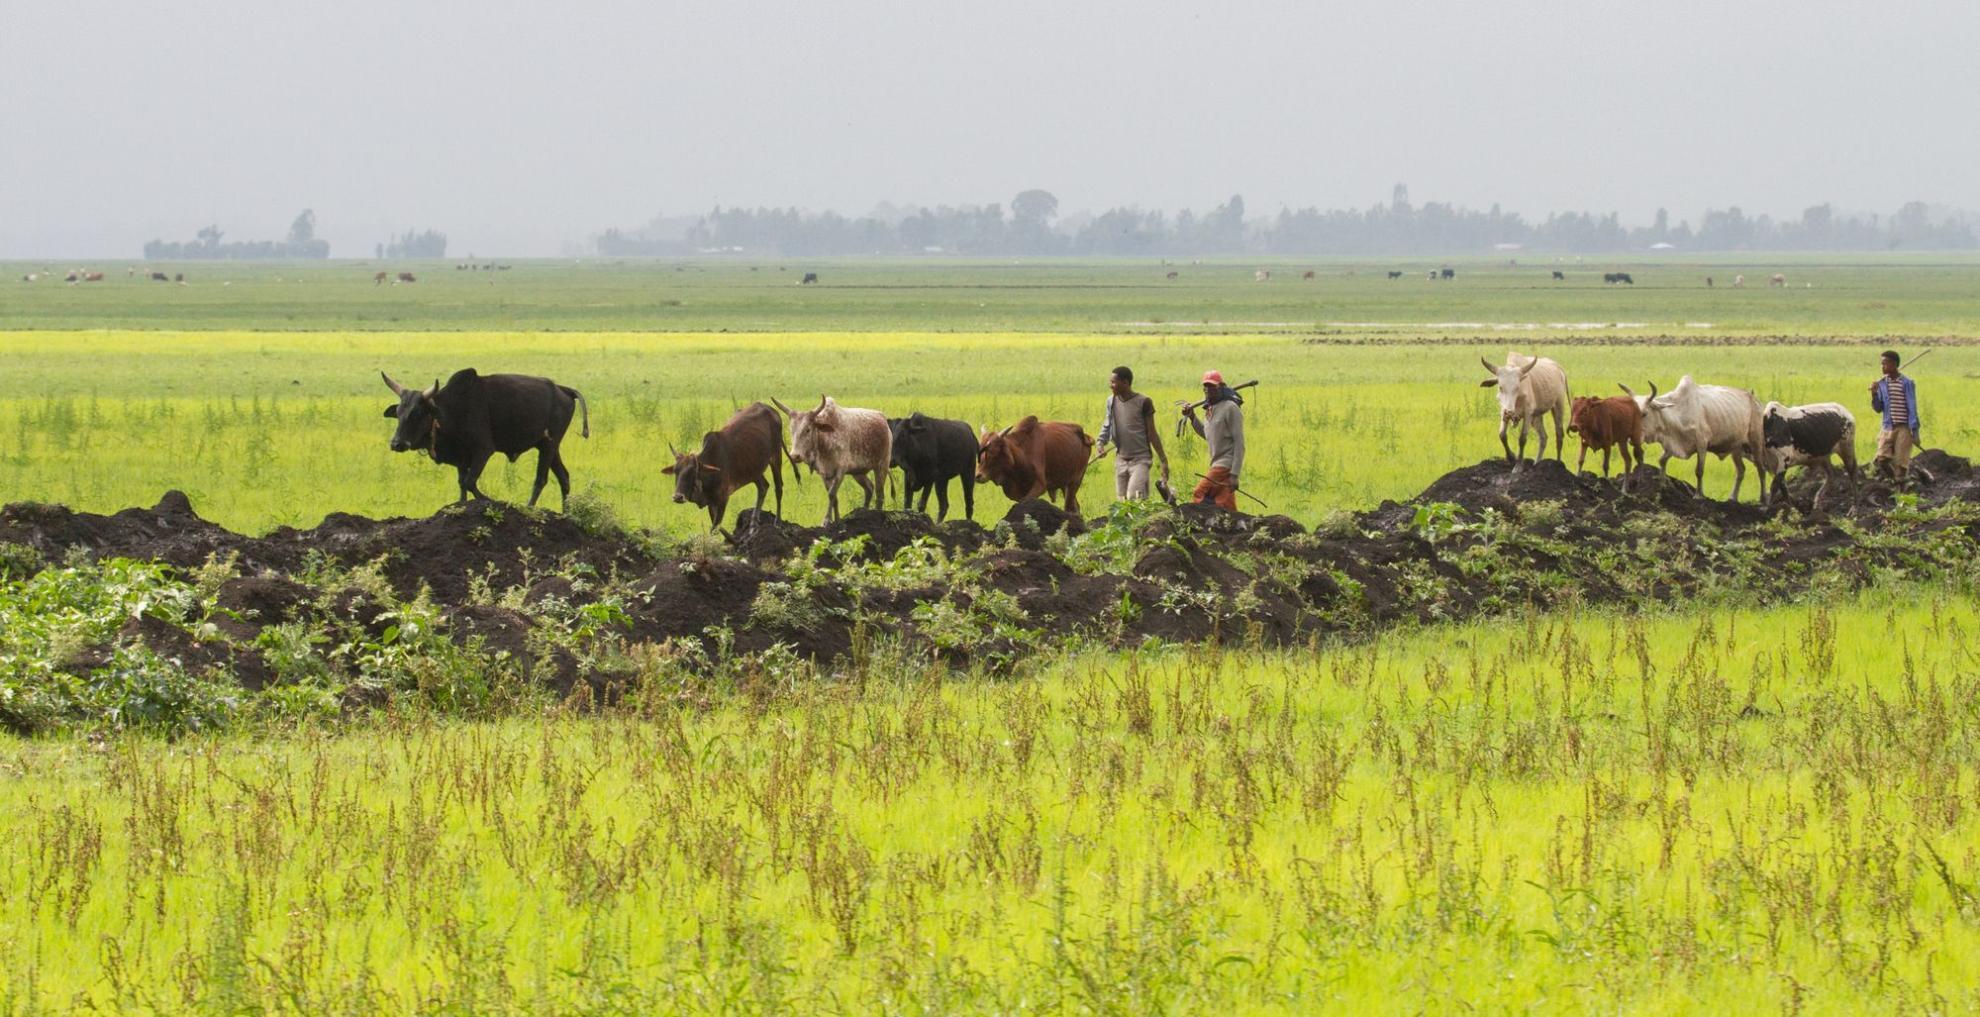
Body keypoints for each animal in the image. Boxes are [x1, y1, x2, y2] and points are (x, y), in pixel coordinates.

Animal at [380, 368, 586, 506]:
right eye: (398, 412)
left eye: (417, 413)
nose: (396, 444)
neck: (452, 410)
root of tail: (563, 390)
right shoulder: (461, 458)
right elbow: (462, 485)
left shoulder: (483, 450)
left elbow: (470, 482)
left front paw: (491, 501)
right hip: (549, 446)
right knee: (564, 477)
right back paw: (566, 514)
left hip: (549, 444)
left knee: (541, 480)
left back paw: (529, 507)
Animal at [665, 397, 788, 530]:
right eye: (675, 471)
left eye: (693, 472)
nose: (678, 497)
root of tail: (771, 410)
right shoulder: (711, 503)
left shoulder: (723, 500)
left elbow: (715, 528)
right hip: (754, 469)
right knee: (763, 487)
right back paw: (753, 523)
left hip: (776, 456)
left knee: (778, 487)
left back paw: (777, 522)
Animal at [1623, 371, 1766, 498]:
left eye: (1644, 414)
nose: (1632, 439)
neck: (1679, 412)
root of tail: (1755, 401)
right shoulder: (1672, 445)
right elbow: (1662, 461)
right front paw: (1662, 485)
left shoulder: (1702, 444)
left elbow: (1699, 471)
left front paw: (1698, 495)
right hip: (1736, 448)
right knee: (1741, 471)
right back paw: (1732, 498)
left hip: (1756, 443)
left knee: (1761, 469)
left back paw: (1763, 502)